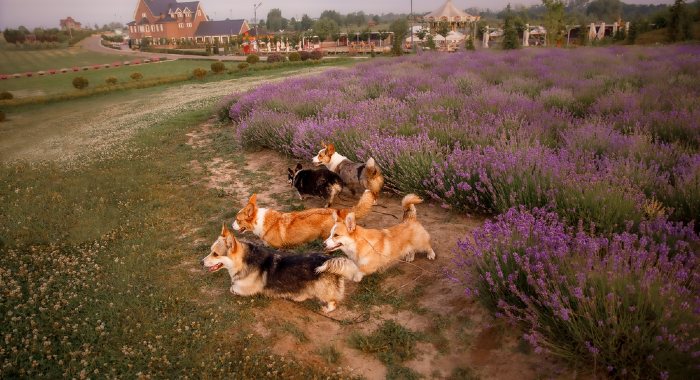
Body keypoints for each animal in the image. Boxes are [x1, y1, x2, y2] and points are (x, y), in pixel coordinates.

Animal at [198, 226, 358, 312]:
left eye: (215, 254)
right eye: (210, 251)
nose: (201, 262)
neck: (243, 261)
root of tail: (328, 261)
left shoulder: (244, 289)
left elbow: (232, 288)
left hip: (322, 290)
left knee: (333, 302)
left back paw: (326, 308)